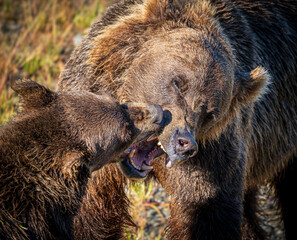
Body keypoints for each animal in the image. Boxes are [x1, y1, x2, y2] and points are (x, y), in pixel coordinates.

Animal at [58, 0, 296, 238]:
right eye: (178, 83)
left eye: (211, 113)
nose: (184, 142)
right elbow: (88, 213)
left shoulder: (211, 156)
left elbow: (205, 207)